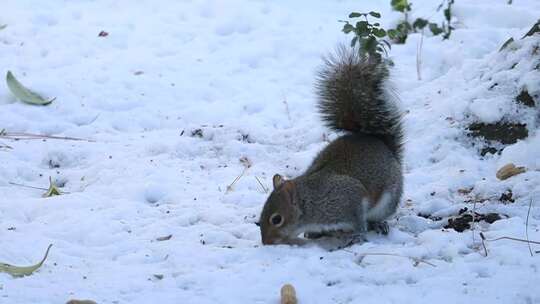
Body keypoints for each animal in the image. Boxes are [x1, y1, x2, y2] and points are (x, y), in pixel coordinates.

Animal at [260, 48, 402, 247]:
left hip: (388, 200)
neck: (311, 204)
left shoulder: (349, 198)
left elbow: (359, 221)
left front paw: (357, 235)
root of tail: (381, 144)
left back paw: (378, 224)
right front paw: (313, 233)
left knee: (377, 216)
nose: (267, 242)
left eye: (276, 219)